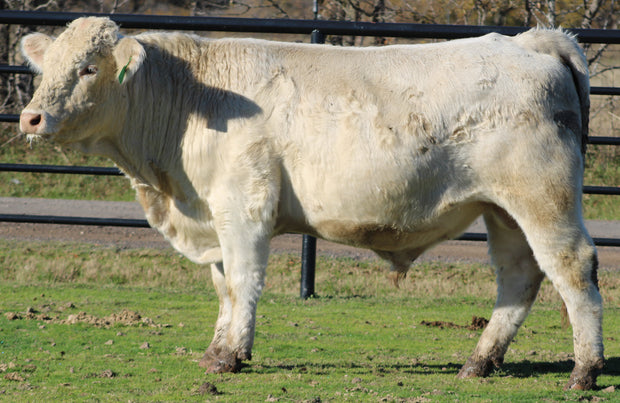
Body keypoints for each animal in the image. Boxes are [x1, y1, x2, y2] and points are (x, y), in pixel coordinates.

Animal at [19, 17, 600, 390]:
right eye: (48, 67)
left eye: (88, 68)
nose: (30, 117)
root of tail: (530, 40)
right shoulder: (213, 212)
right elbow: (222, 285)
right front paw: (216, 348)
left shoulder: (243, 203)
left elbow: (242, 279)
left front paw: (230, 356)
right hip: (502, 210)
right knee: (518, 276)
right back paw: (480, 362)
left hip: (541, 196)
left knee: (572, 268)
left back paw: (585, 370)